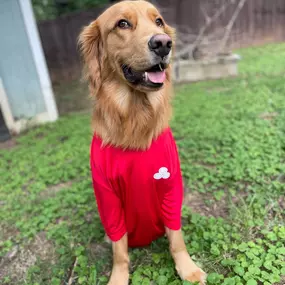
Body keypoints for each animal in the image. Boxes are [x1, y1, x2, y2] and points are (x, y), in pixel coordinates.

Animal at [79, 1, 205, 282]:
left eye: (158, 22)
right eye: (122, 24)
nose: (163, 43)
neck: (136, 115)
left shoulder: (170, 186)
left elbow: (176, 237)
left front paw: (187, 267)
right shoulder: (108, 196)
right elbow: (119, 249)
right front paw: (118, 277)